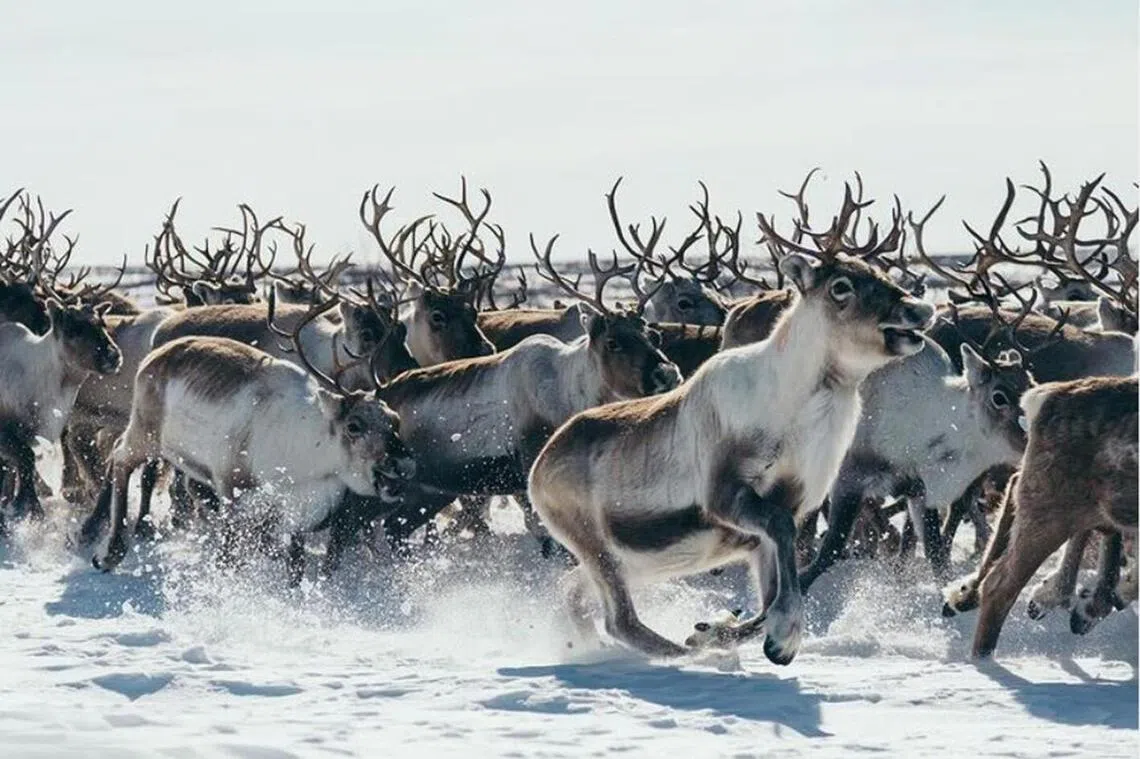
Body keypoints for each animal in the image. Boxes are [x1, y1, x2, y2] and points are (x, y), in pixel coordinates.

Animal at [91, 297, 417, 584]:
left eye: (394, 420)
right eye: (354, 426)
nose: (405, 463)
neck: (304, 455)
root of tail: (155, 354)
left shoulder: (288, 511)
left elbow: (288, 556)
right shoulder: (232, 489)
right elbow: (233, 552)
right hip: (145, 432)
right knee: (119, 458)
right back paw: (109, 553)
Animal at [526, 175, 935, 663]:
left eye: (881, 274)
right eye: (841, 286)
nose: (920, 309)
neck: (793, 411)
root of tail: (540, 464)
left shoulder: (778, 520)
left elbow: (774, 590)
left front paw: (722, 631)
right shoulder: (726, 495)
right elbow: (784, 563)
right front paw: (781, 635)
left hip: (634, 562)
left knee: (572, 592)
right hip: (595, 546)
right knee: (621, 620)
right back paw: (697, 657)